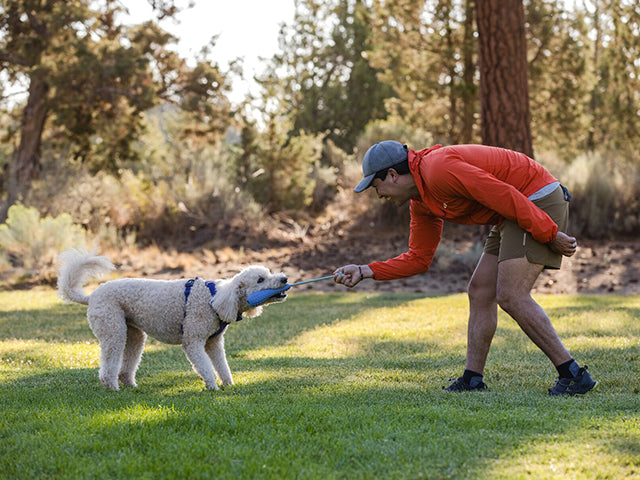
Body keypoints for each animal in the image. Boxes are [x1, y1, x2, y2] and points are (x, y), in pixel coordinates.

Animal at [57, 249, 288, 392]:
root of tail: (91, 296)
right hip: (112, 330)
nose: (285, 278)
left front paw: (229, 385)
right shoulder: (193, 341)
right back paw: (112, 387)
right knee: (109, 364)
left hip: (134, 335)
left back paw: (130, 386)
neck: (214, 298)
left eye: (268, 272)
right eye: (260, 279)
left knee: (127, 365)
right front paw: (213, 387)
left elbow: (222, 365)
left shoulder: (214, 343)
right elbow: (205, 367)